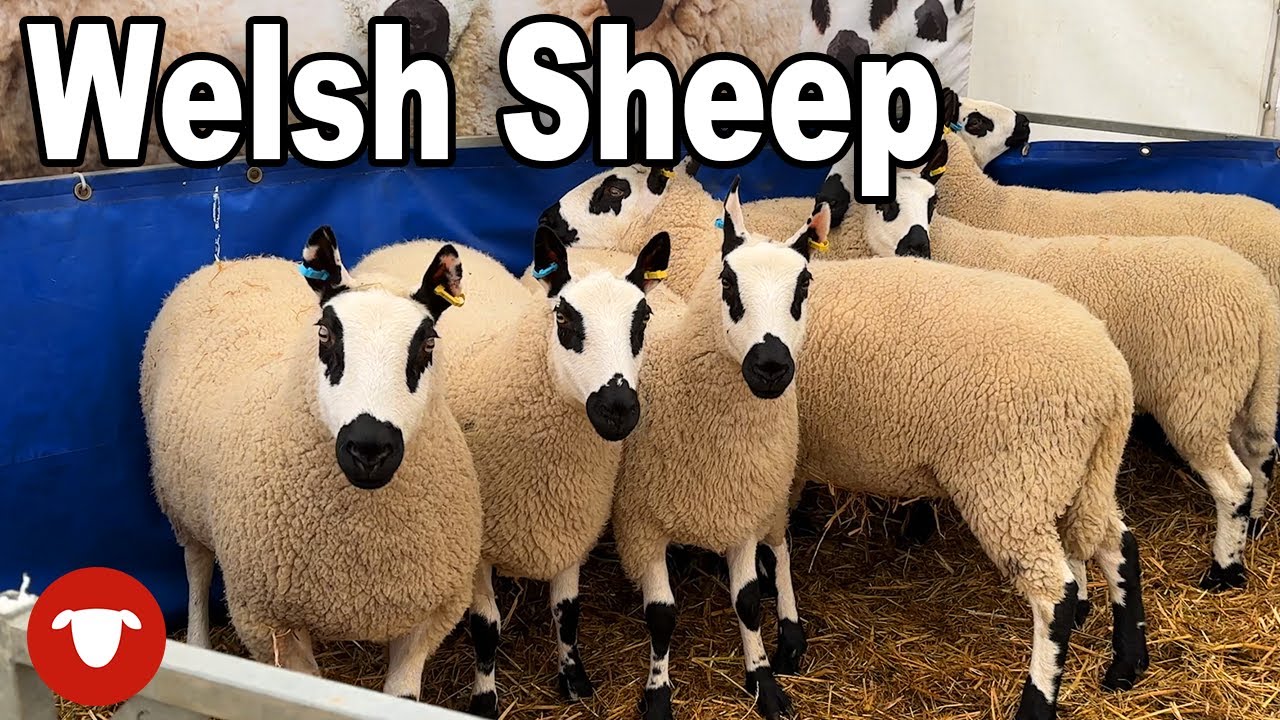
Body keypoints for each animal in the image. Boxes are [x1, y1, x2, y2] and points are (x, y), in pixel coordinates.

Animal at [139, 226, 481, 700]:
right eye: (324, 334)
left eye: (428, 342)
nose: (369, 447)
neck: (363, 546)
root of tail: (236, 261)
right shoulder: (267, 621)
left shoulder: (431, 616)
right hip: (181, 503)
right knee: (197, 568)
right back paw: (198, 642)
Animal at [354, 229, 673, 718]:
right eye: (563, 316)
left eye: (644, 318)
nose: (617, 409)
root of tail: (416, 239)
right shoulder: (477, 545)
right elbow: (486, 627)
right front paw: (484, 699)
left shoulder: (570, 521)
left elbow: (568, 610)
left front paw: (574, 677)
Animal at [543, 164, 1152, 720]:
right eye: (731, 284)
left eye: (613, 188)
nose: (547, 219)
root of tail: (1110, 378)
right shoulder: (779, 461)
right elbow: (773, 541)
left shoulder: (779, 460)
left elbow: (773, 545)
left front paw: (783, 633)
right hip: (1075, 475)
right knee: (1119, 544)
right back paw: (1126, 662)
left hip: (1012, 483)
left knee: (1056, 594)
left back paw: (1038, 701)